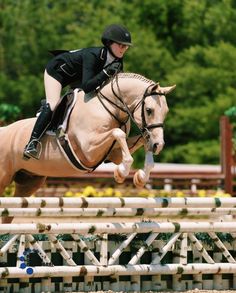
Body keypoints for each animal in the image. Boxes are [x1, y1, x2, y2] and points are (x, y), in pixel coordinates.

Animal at [0, 72, 175, 197]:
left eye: (166, 112)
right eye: (149, 110)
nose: (159, 145)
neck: (108, 107)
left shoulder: (113, 153)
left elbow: (141, 141)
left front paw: (141, 176)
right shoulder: (88, 150)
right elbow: (118, 133)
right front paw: (121, 172)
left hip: (29, 181)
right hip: (3, 178)